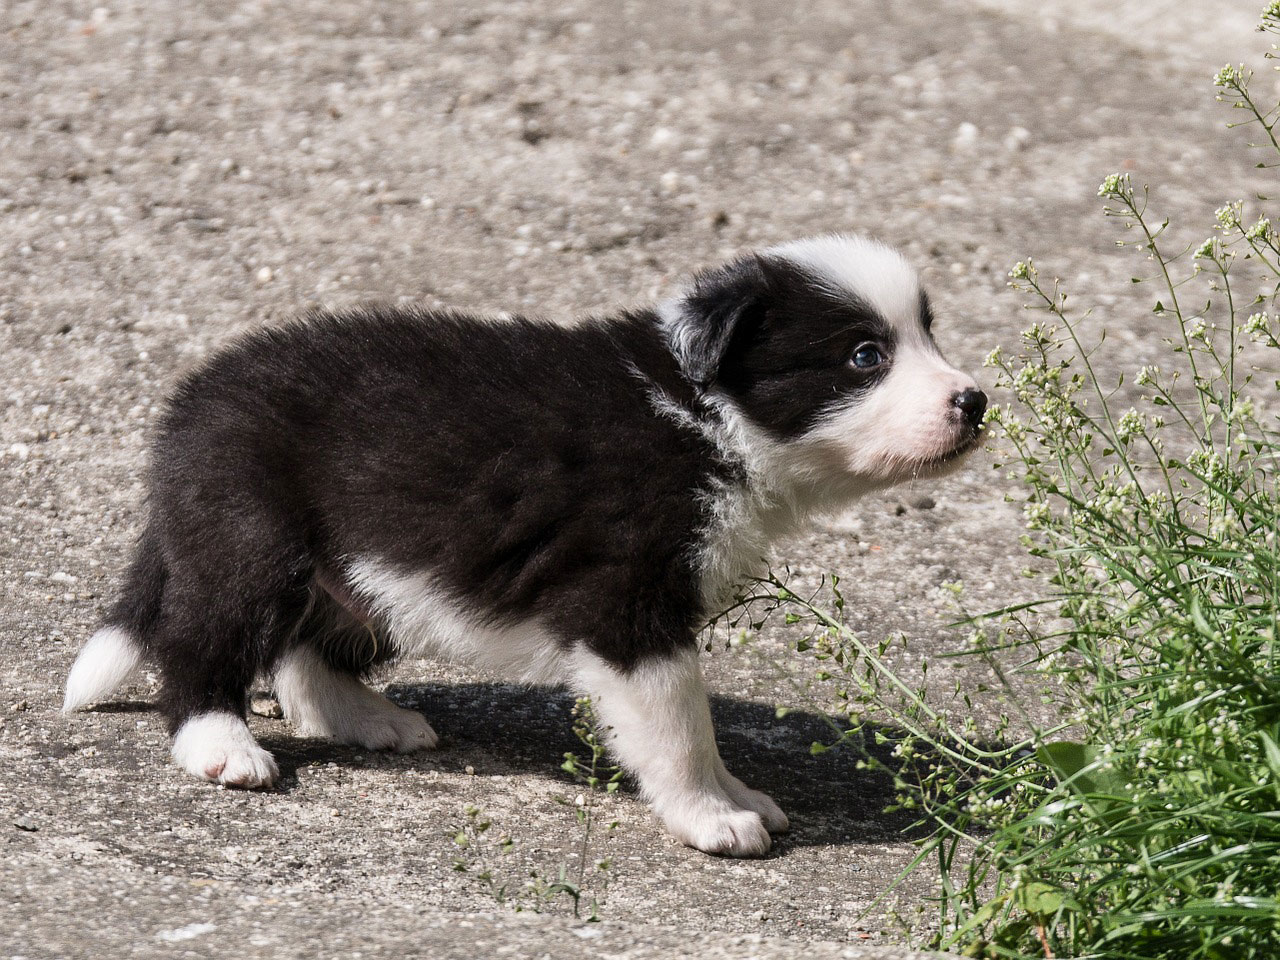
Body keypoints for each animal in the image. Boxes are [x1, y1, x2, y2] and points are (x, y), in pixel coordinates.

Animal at [64, 236, 983, 860]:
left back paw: (367, 718)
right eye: (864, 356)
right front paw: (712, 816)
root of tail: (190, 407)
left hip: (364, 564)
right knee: (203, 642)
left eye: (929, 336)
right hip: (249, 534)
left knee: (303, 651)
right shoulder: (623, 603)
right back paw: (222, 747)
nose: (974, 401)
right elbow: (680, 723)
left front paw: (740, 795)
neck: (701, 413)